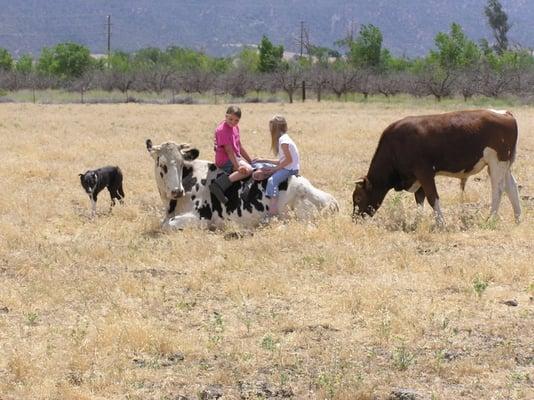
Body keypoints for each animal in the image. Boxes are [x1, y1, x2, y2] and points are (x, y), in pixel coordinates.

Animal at [354, 108, 520, 225]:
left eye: (357, 197)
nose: (354, 219)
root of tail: (504, 113)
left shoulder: (425, 173)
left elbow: (432, 197)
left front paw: (440, 223)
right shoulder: (417, 177)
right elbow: (419, 198)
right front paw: (417, 221)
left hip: (497, 162)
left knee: (498, 189)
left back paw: (491, 218)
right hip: (504, 165)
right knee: (511, 187)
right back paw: (518, 218)